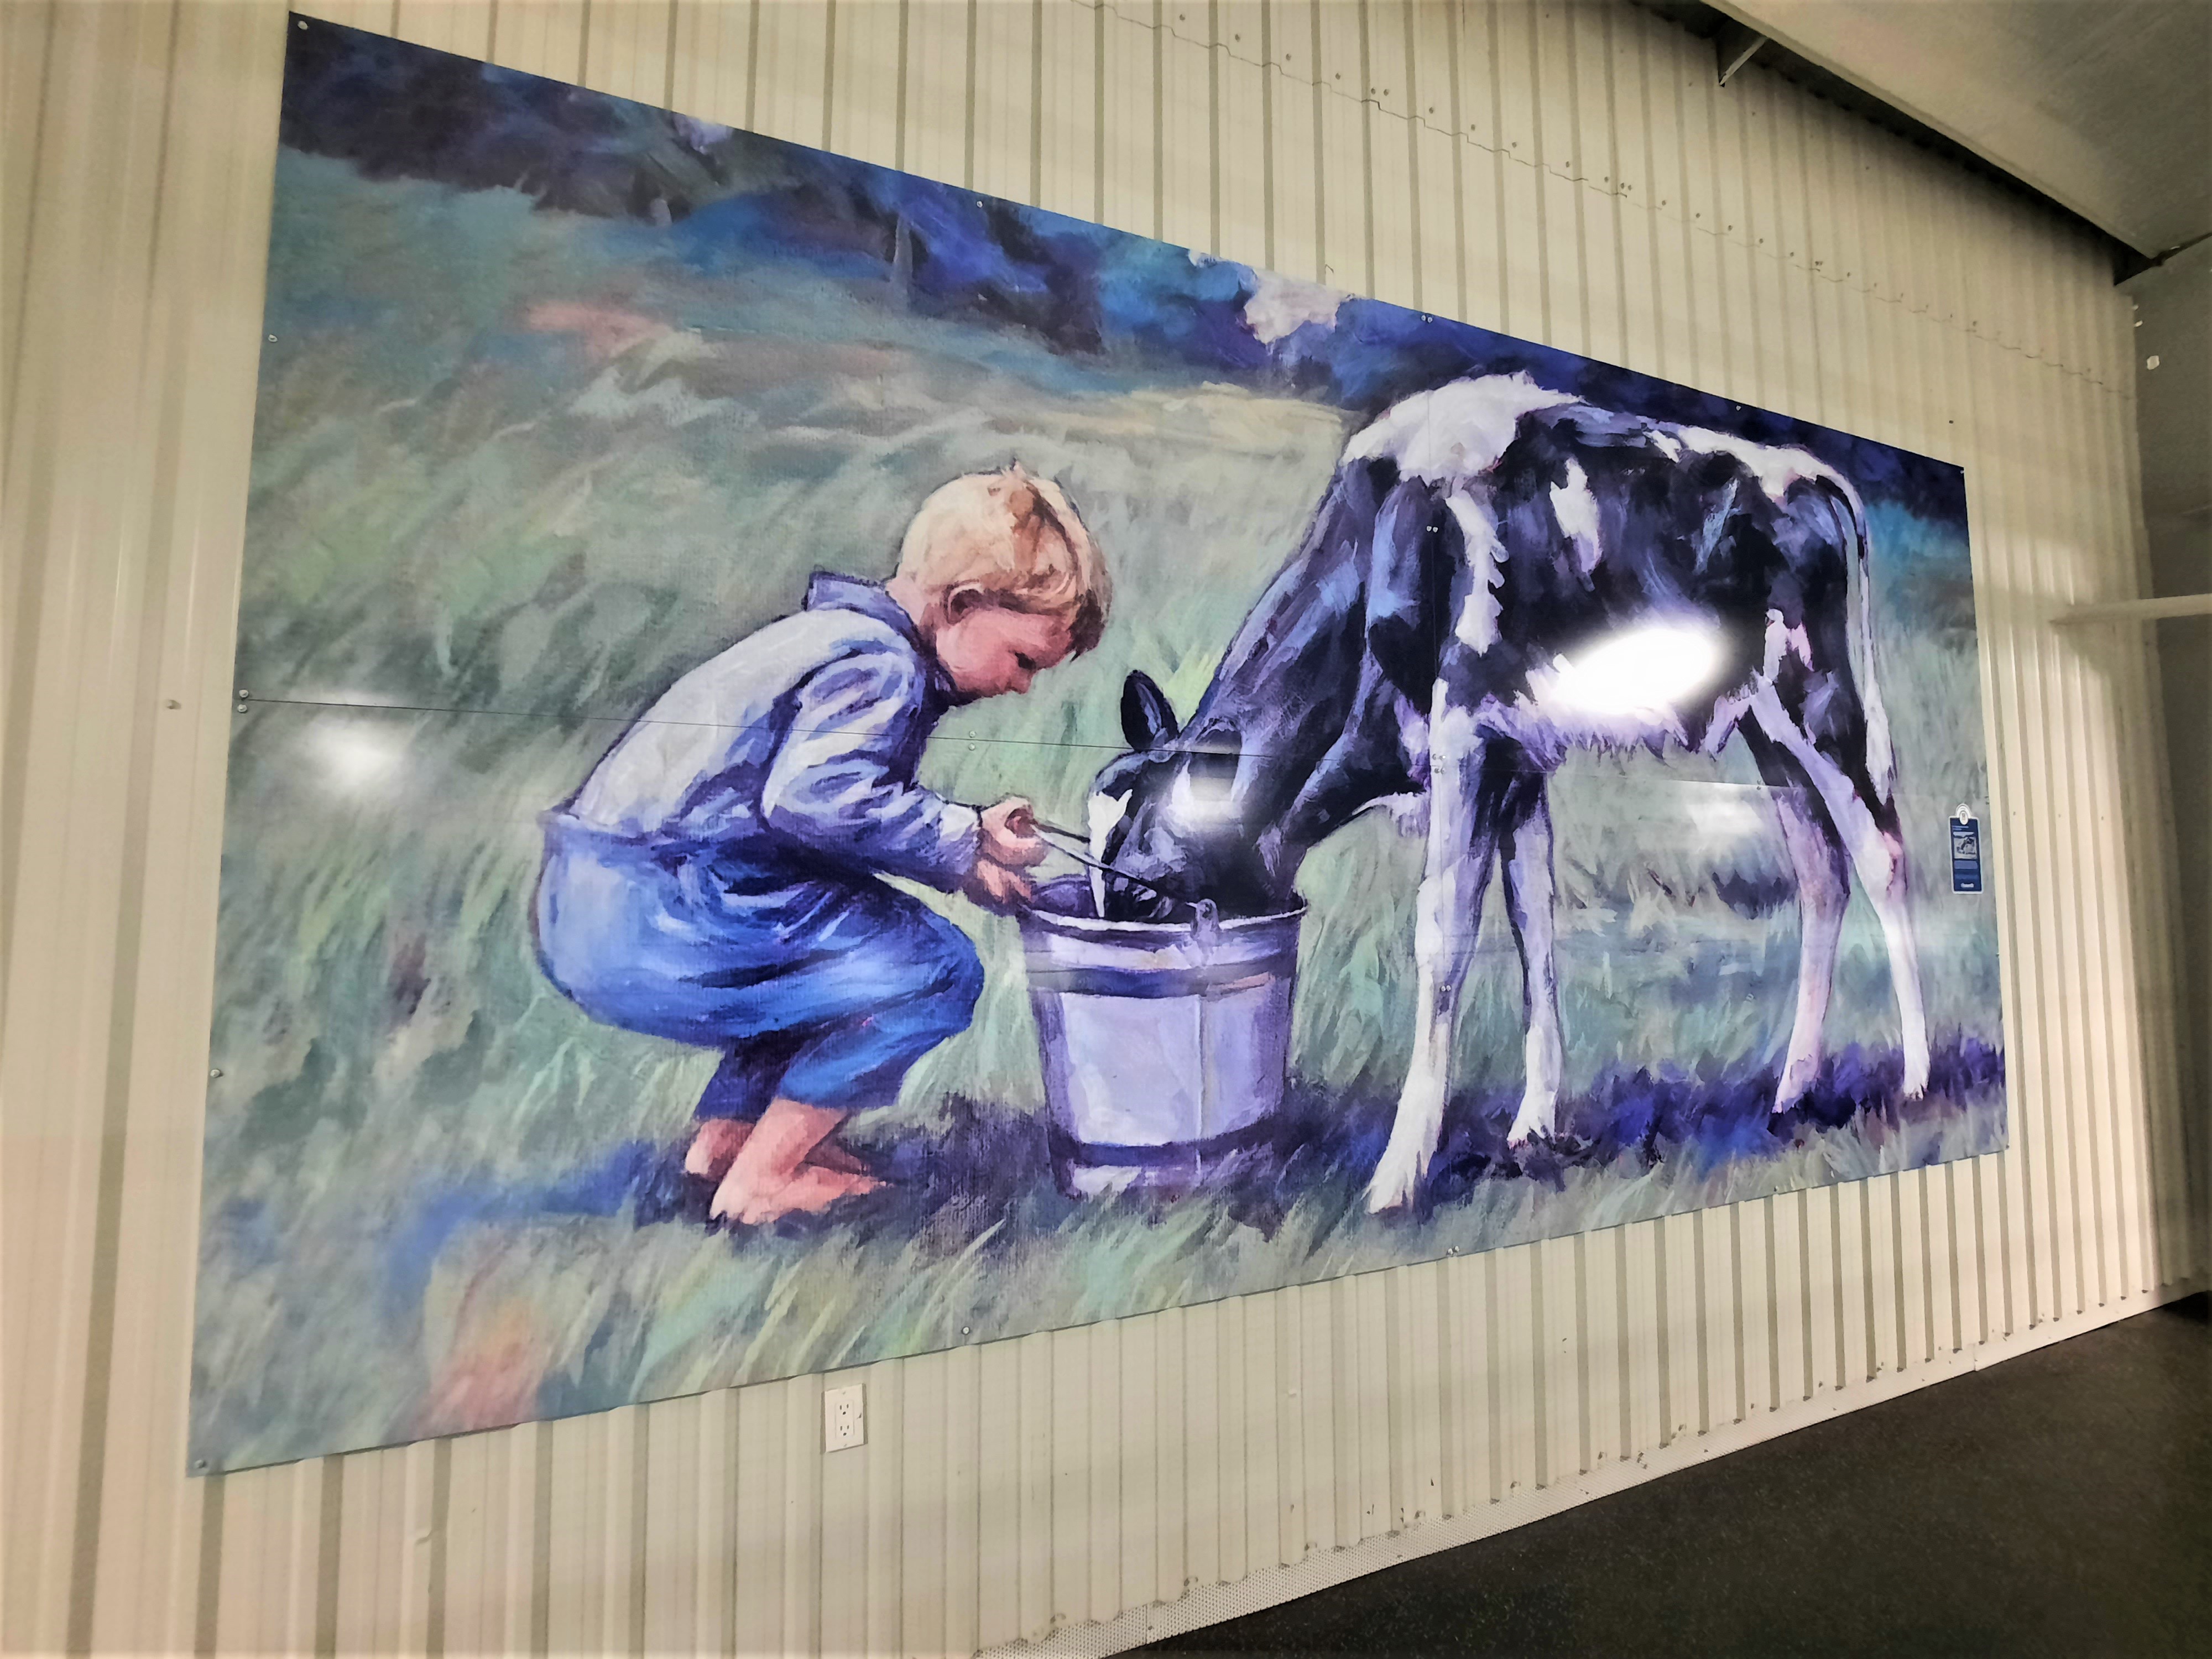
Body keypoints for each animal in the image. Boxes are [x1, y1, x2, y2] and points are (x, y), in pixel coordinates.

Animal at [1097, 374, 1929, 1212]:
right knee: (1821, 872)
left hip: (1819, 697)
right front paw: (1534, 1124)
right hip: (1766, 726)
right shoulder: (1519, 758)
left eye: (1139, 894)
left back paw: (1917, 1080)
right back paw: (1793, 1090)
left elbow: (1444, 932)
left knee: (1881, 855)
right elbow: (1534, 919)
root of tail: (1809, 470)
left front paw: (1400, 1173)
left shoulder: (1464, 733)